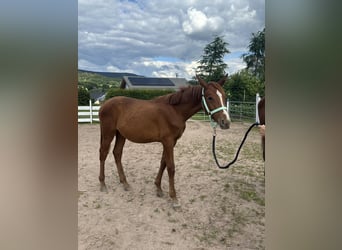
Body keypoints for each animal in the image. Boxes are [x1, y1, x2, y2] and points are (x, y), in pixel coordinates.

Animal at [98, 75, 230, 206]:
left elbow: (163, 163)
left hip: (121, 135)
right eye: (210, 97)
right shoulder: (168, 142)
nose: (226, 122)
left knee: (117, 153)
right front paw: (174, 198)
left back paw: (125, 183)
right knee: (103, 154)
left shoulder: (171, 142)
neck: (175, 111)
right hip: (108, 133)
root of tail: (104, 105)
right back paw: (103, 184)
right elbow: (171, 167)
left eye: (224, 96)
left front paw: (158, 188)